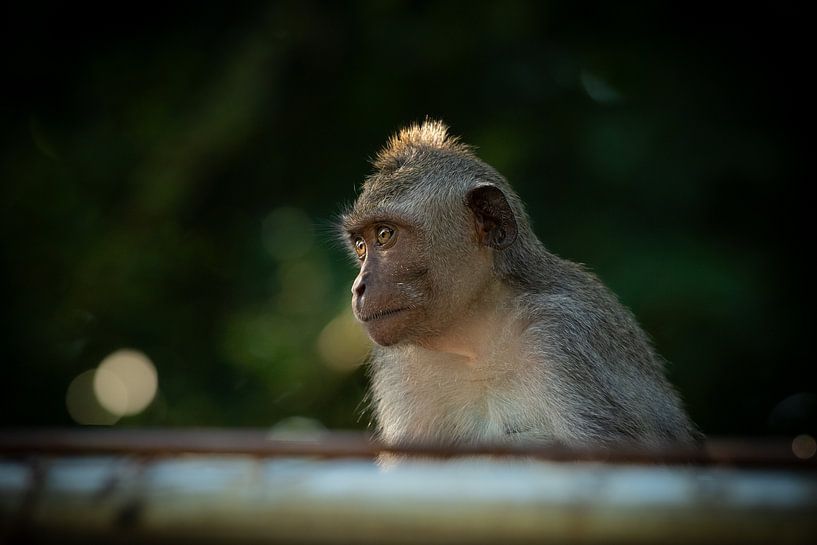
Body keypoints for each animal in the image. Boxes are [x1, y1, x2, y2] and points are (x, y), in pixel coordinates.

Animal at [339, 119, 698, 449]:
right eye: (360, 245)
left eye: (385, 235)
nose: (358, 287)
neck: (478, 338)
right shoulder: (397, 366)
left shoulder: (563, 334)